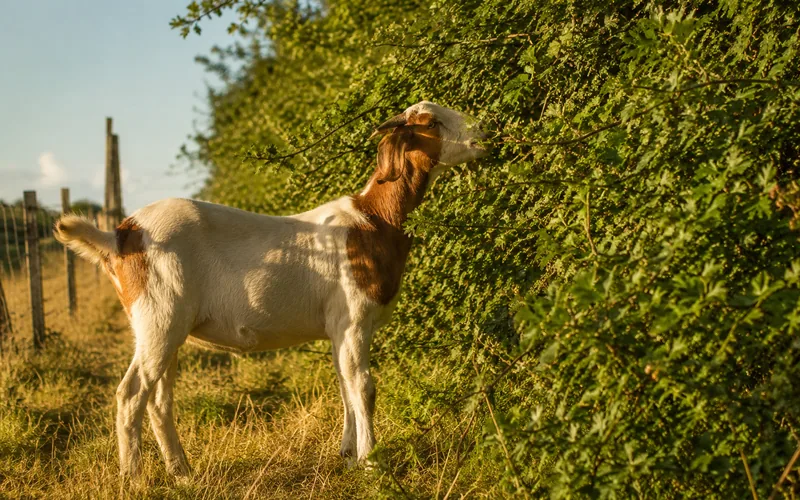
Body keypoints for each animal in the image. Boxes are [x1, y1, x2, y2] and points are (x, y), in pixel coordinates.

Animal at [54, 101, 487, 478]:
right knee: (130, 395)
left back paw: (182, 474)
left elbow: (344, 385)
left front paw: (348, 457)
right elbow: (364, 388)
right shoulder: (354, 320)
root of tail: (121, 235)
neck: (375, 218)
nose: (484, 133)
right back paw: (134, 479)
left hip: (161, 326)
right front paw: (372, 464)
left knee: (159, 401)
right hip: (159, 317)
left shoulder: (337, 328)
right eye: (432, 122)